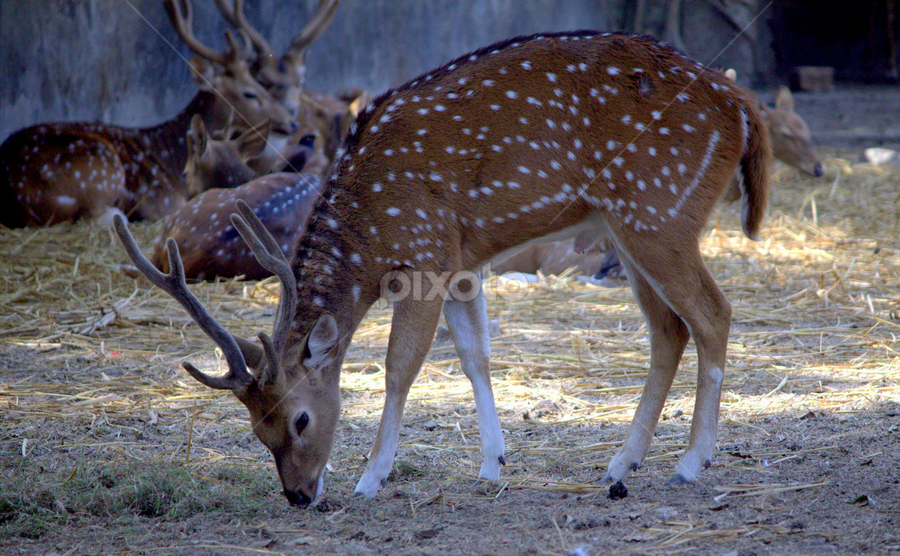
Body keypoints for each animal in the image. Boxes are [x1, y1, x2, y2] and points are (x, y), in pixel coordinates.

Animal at [0, 0, 297, 229]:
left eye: (260, 82)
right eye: (250, 92)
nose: (292, 121)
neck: (170, 154)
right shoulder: (163, 201)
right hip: (100, 168)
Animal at [114, 31, 771, 506]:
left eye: (300, 419)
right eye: (255, 430)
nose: (298, 495)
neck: (371, 231)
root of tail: (742, 106)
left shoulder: (425, 255)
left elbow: (399, 368)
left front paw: (370, 478)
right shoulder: (462, 263)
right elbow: (476, 355)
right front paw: (492, 465)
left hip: (659, 209)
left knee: (713, 313)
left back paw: (691, 462)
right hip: (630, 228)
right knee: (669, 329)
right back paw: (619, 466)